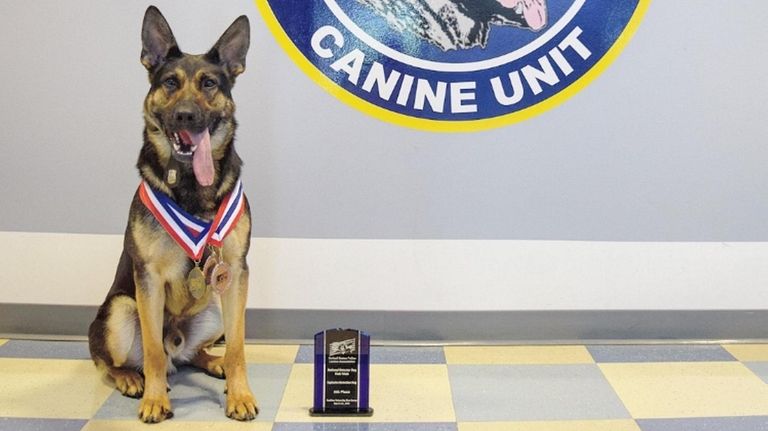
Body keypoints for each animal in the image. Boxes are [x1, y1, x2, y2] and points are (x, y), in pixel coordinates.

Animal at [86, 5, 255, 426]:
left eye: (209, 84)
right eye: (170, 83)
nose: (185, 116)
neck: (192, 186)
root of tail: (176, 339)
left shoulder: (235, 272)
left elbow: (238, 346)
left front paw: (240, 394)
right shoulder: (147, 278)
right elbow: (152, 351)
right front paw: (154, 399)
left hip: (216, 305)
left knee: (195, 352)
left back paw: (212, 362)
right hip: (121, 310)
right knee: (115, 360)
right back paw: (132, 379)